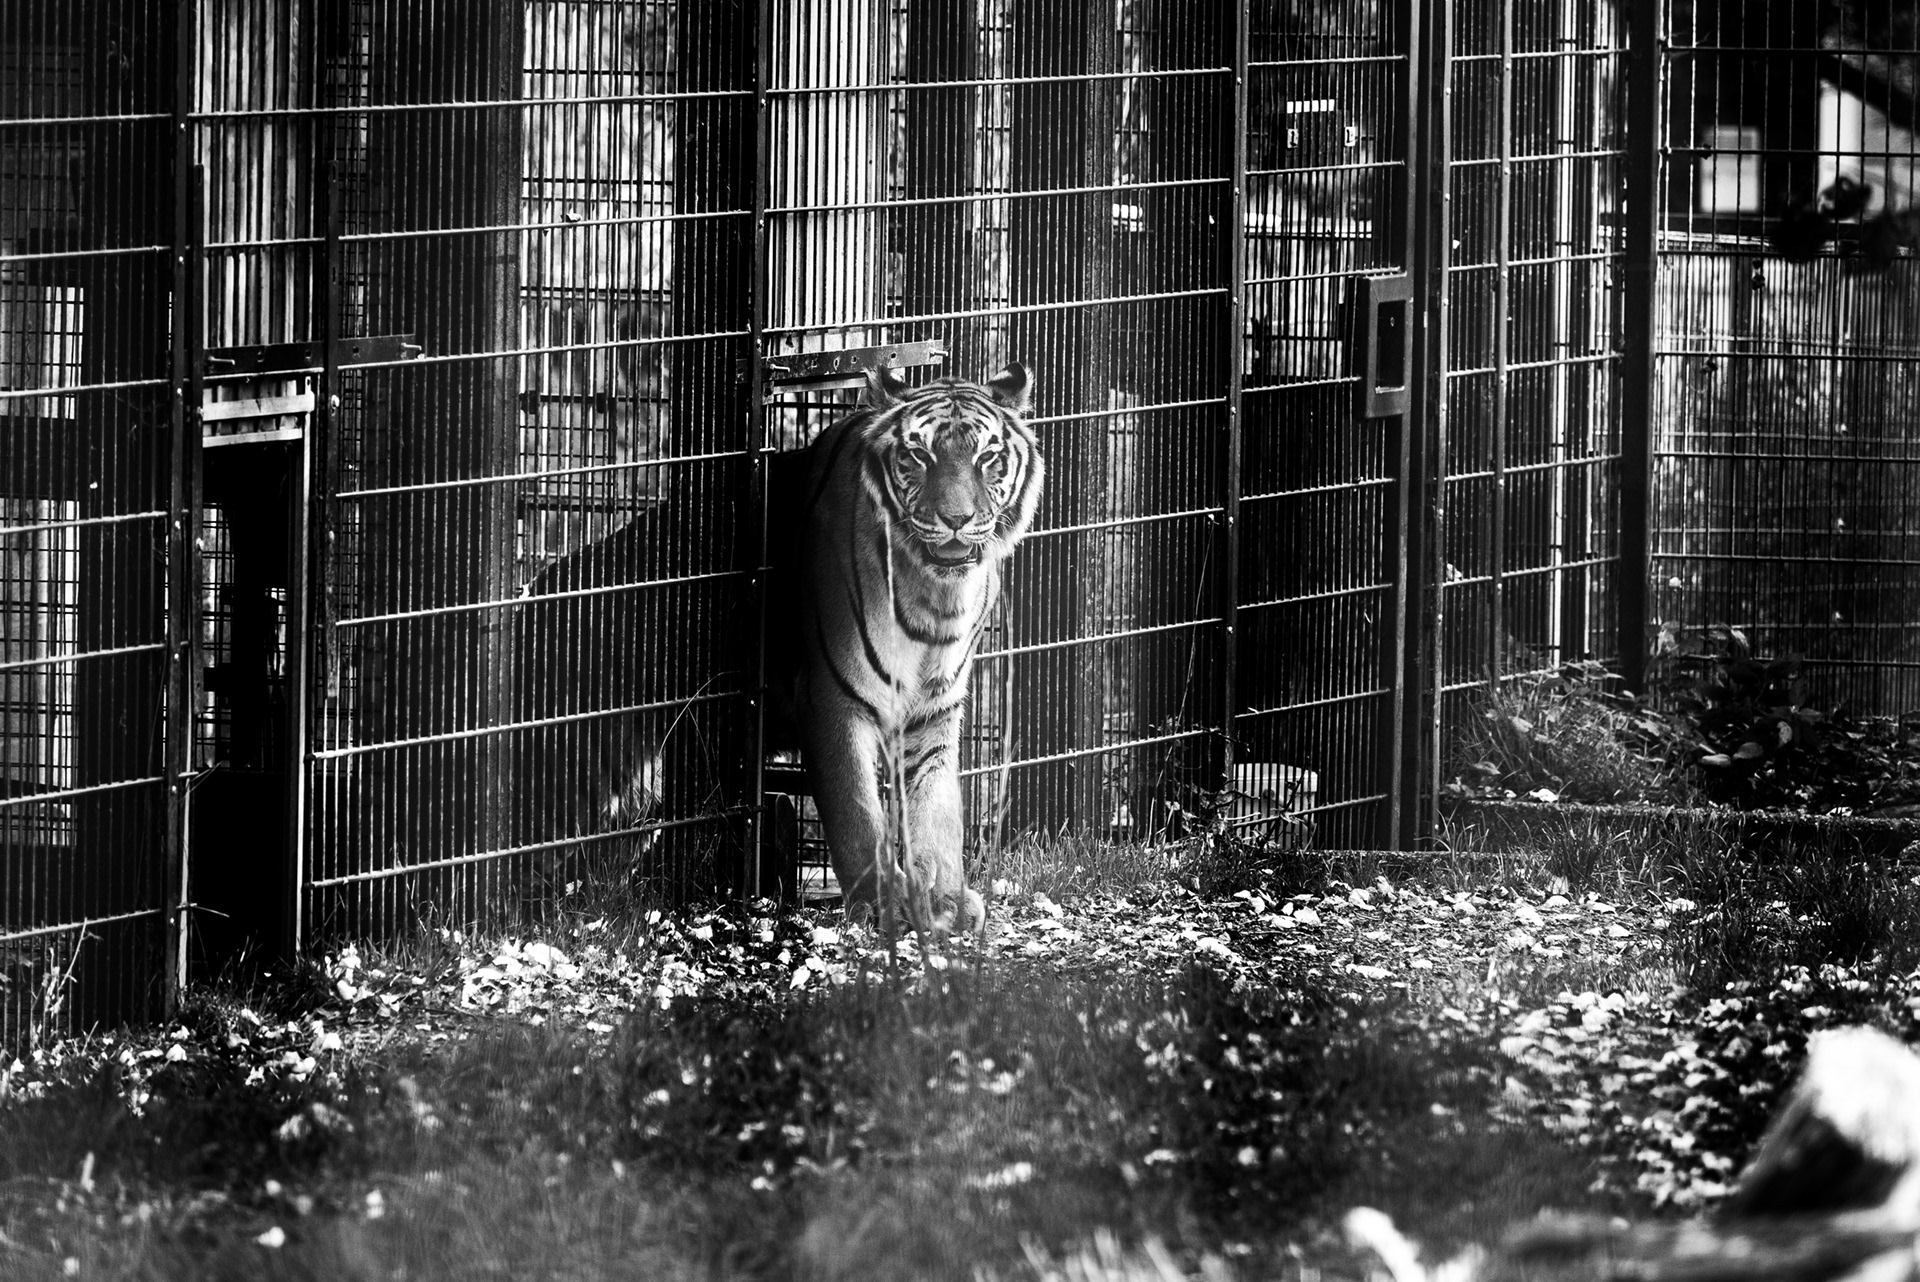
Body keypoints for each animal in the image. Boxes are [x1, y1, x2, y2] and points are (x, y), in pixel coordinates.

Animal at [776, 363, 1044, 936]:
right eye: (918, 455)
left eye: (986, 457)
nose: (956, 519)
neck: (934, 596)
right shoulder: (834, 698)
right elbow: (857, 812)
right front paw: (886, 906)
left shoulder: (934, 707)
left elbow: (937, 808)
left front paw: (945, 899)